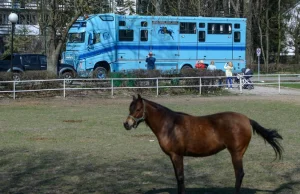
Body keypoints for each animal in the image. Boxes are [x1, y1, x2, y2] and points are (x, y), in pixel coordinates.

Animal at [123, 94, 282, 194]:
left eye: (138, 109)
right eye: (129, 108)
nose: (126, 124)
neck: (170, 125)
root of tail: (247, 119)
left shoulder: (177, 155)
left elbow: (180, 177)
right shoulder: (173, 157)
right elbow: (177, 177)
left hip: (236, 153)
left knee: (239, 174)